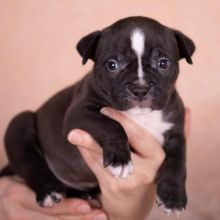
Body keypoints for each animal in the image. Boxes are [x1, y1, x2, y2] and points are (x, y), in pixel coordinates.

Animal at [2, 16, 195, 215]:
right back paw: (49, 190)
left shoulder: (176, 133)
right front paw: (120, 159)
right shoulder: (78, 114)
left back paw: (83, 195)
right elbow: (110, 124)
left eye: (163, 63)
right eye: (112, 65)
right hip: (21, 124)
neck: (140, 116)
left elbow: (178, 161)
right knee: (32, 165)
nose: (140, 89)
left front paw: (173, 196)